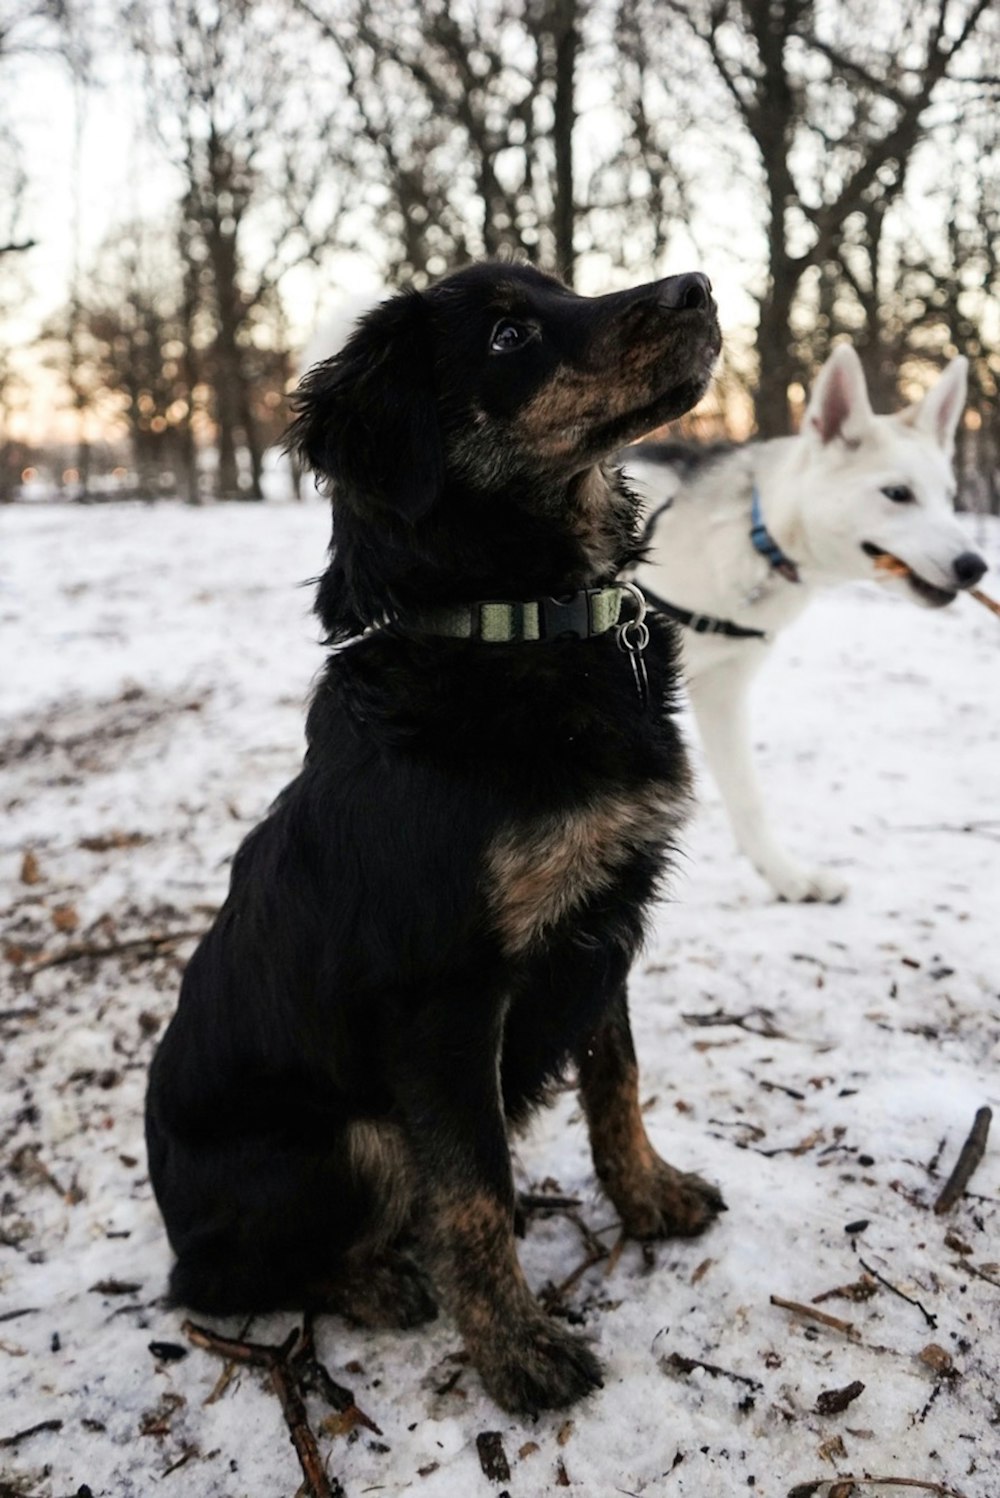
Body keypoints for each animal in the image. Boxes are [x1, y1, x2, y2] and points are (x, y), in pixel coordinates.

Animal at [148, 260, 721, 1414]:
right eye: (506, 336)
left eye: (561, 287)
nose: (699, 286)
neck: (516, 623)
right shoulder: (444, 998)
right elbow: (472, 1192)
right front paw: (517, 1350)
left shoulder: (600, 928)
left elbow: (617, 1082)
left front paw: (648, 1197)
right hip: (349, 1138)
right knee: (223, 1279)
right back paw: (377, 1284)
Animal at [625, 350, 982, 898]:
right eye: (897, 493)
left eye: (948, 496)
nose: (974, 566)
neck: (757, 539)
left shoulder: (722, 690)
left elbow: (747, 798)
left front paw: (787, 876)